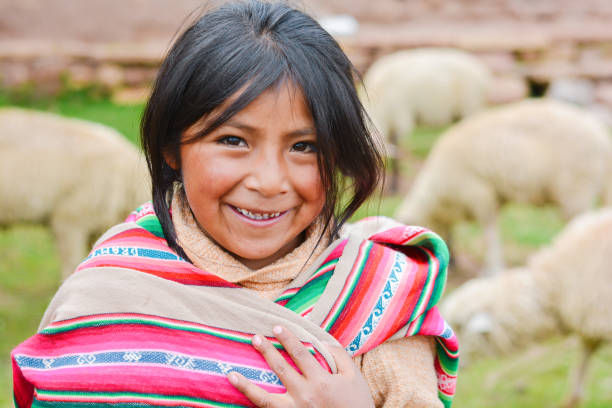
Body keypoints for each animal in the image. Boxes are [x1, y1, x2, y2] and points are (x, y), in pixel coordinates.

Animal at [392, 99, 612, 276]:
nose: (450, 262)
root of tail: (602, 137)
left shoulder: (480, 195)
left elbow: (490, 233)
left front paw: (491, 269)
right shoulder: (490, 198)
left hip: (576, 189)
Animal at [442, 209, 612, 408]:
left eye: (460, 328)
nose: (457, 366)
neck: (554, 286)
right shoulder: (590, 320)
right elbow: (584, 355)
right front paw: (571, 400)